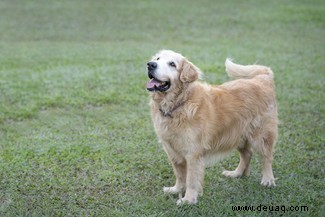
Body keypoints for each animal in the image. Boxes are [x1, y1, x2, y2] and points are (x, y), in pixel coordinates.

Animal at [146, 49, 278, 205]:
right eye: (157, 59)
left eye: (172, 64)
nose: (150, 65)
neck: (179, 103)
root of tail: (262, 78)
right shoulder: (172, 150)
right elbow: (179, 175)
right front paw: (176, 190)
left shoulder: (193, 153)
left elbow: (191, 179)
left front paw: (188, 199)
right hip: (238, 134)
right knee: (247, 154)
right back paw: (236, 173)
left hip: (261, 136)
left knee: (267, 157)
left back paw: (268, 180)